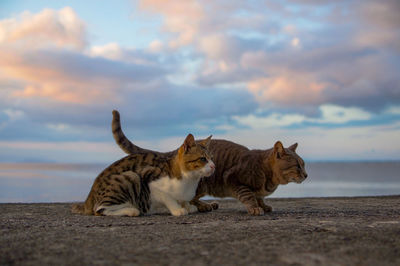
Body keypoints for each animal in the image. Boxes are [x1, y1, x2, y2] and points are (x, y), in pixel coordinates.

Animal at [72, 133, 216, 216]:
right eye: (203, 159)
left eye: (211, 158)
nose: (213, 166)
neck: (189, 180)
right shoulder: (149, 179)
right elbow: (167, 197)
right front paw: (177, 209)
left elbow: (184, 201)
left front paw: (187, 206)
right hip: (131, 176)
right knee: (100, 209)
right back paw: (131, 210)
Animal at [111, 110, 308, 216]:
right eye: (298, 165)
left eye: (304, 165)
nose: (306, 175)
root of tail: (174, 152)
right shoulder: (234, 178)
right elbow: (249, 196)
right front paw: (254, 208)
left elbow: (259, 197)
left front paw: (264, 205)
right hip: (202, 184)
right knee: (190, 199)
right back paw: (204, 206)